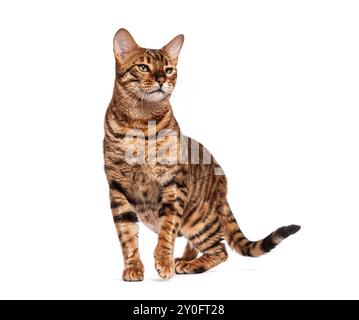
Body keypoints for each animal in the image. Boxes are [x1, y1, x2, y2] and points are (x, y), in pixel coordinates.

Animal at [104, 28, 300, 282]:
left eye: (169, 69)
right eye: (143, 67)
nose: (162, 80)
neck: (141, 122)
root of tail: (223, 186)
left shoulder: (174, 184)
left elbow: (167, 229)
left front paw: (163, 260)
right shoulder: (117, 188)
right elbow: (126, 235)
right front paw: (133, 267)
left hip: (198, 220)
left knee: (220, 249)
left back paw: (188, 265)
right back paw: (184, 259)